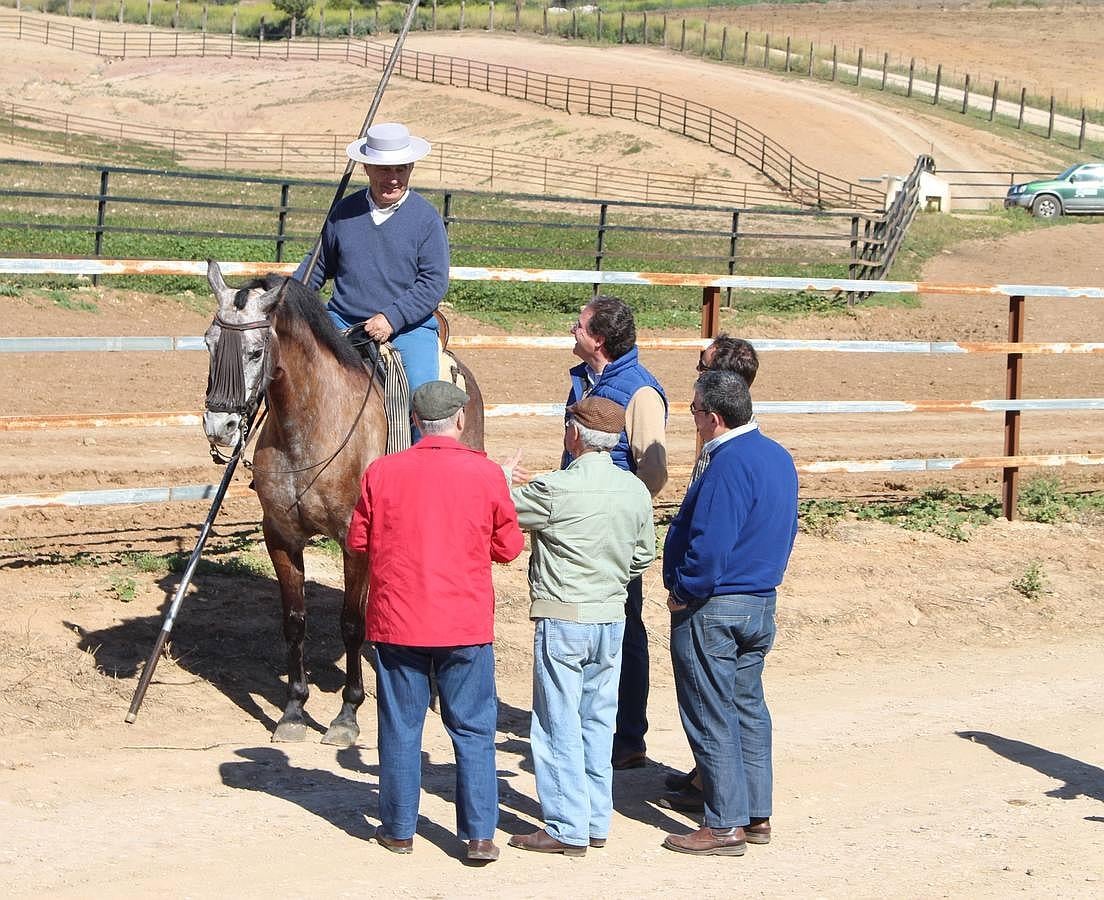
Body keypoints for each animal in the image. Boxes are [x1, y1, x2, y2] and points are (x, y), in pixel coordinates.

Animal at [204, 258, 487, 746]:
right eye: (209, 343)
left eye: (256, 352)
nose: (219, 426)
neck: (312, 428)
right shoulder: (281, 537)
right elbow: (295, 620)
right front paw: (294, 710)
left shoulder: (355, 543)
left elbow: (352, 624)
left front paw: (346, 715)